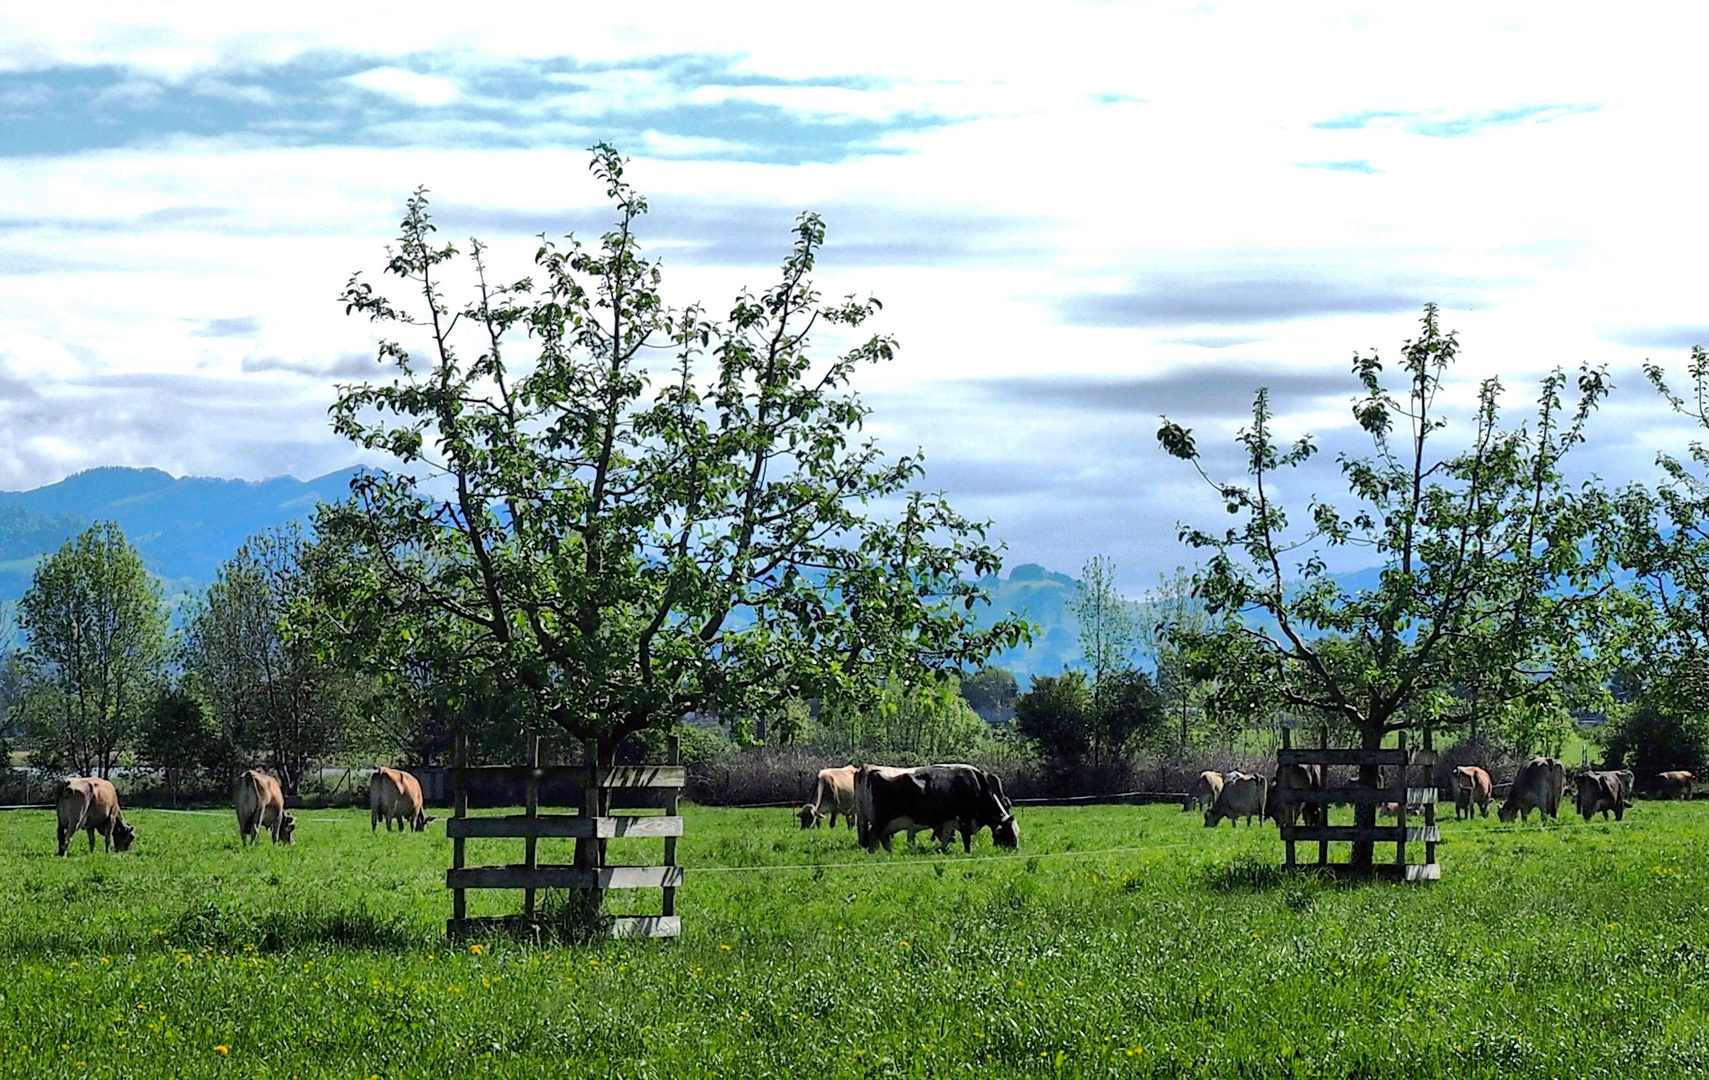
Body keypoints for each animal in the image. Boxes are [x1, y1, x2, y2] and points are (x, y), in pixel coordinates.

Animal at [851, 758, 1011, 851]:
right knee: (874, 836)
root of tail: (867, 768)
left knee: (879, 838)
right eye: (1009, 831)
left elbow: (946, 836)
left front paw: (942, 850)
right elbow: (965, 838)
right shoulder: (964, 818)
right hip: (880, 820)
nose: (1014, 848)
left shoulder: (947, 821)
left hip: (870, 820)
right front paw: (966, 852)